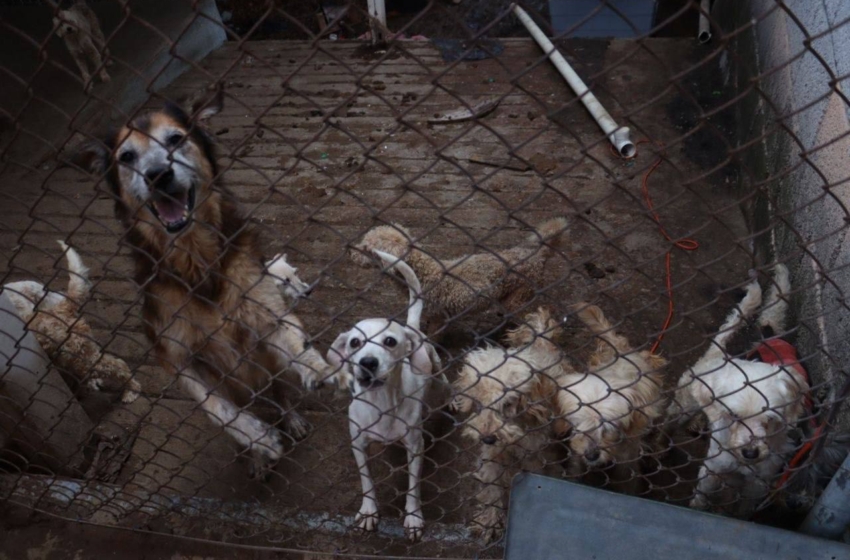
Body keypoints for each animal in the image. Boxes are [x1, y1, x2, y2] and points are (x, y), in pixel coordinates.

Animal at [73, 88, 332, 472]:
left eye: (176, 139)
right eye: (127, 156)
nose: (158, 174)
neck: (195, 262)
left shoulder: (269, 318)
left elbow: (300, 347)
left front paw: (327, 370)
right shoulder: (175, 355)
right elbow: (217, 409)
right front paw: (257, 439)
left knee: (278, 392)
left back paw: (291, 418)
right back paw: (256, 455)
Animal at [326, 249, 444, 544]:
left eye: (389, 341)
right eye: (355, 342)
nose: (367, 363)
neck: (382, 403)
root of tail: (411, 326)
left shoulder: (415, 447)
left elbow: (413, 488)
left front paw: (413, 517)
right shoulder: (358, 444)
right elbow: (366, 481)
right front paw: (369, 512)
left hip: (436, 368)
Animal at [556, 304, 668, 492]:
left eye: (609, 426)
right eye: (578, 424)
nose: (592, 455)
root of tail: (623, 350)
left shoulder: (627, 457)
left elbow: (627, 482)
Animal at [668, 264, 808, 520]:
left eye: (770, 418)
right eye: (733, 416)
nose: (750, 453)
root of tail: (720, 355)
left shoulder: (758, 484)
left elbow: (743, 509)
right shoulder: (712, 470)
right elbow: (700, 497)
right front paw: (696, 508)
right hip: (683, 405)